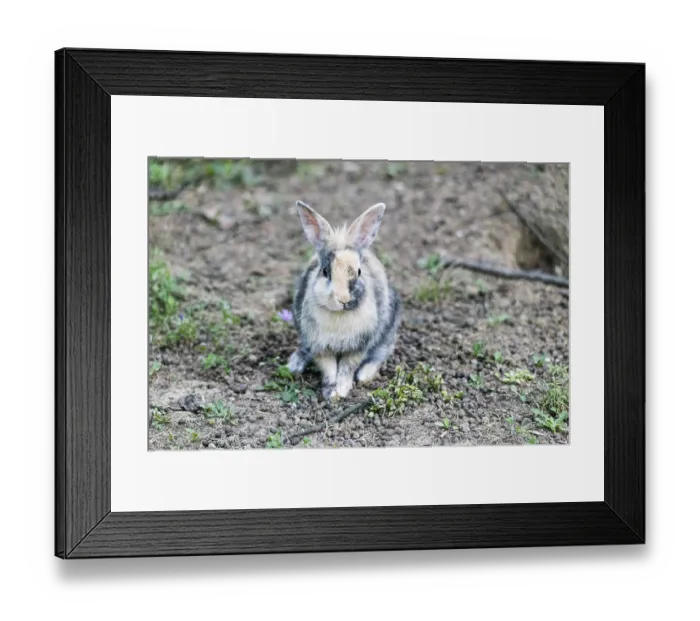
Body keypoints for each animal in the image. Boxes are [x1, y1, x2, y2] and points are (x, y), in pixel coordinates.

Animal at [287, 200, 401, 401]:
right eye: (325, 271)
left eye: (359, 271)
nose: (343, 299)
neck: (339, 314)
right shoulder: (320, 347)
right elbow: (329, 368)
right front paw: (330, 393)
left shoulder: (357, 348)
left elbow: (346, 369)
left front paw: (341, 391)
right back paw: (295, 365)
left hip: (388, 330)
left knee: (381, 353)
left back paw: (364, 375)